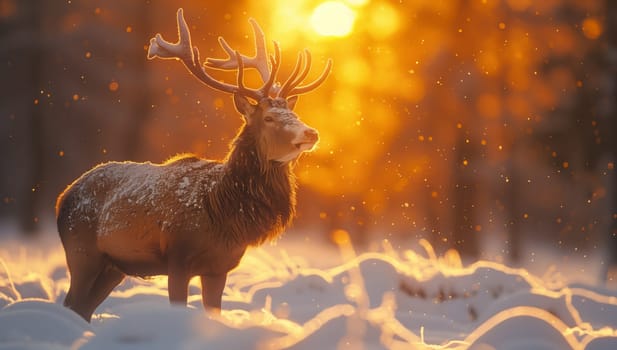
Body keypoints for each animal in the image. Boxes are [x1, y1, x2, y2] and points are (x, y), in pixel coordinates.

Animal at [55, 8, 330, 322]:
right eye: (269, 118)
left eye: (294, 113)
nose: (311, 133)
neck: (222, 213)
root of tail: (62, 197)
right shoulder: (177, 259)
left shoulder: (219, 267)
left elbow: (215, 311)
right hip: (81, 252)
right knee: (72, 301)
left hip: (113, 267)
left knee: (82, 308)